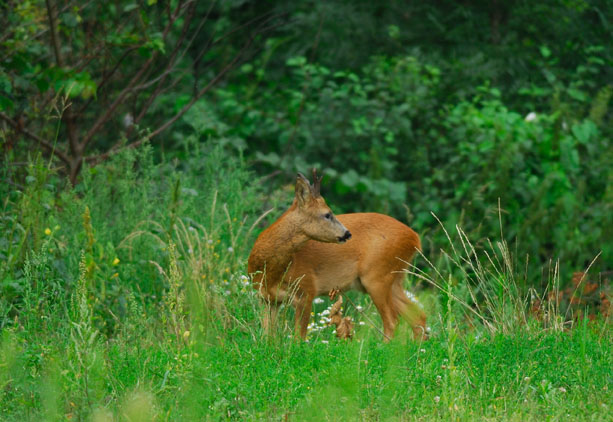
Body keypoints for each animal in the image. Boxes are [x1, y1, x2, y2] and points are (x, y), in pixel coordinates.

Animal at [245, 170, 426, 342]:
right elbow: (267, 336)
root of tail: (415, 238)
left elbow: (299, 337)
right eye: (327, 214)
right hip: (394, 278)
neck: (271, 269)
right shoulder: (267, 298)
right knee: (418, 316)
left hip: (378, 276)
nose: (347, 233)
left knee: (392, 320)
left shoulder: (306, 289)